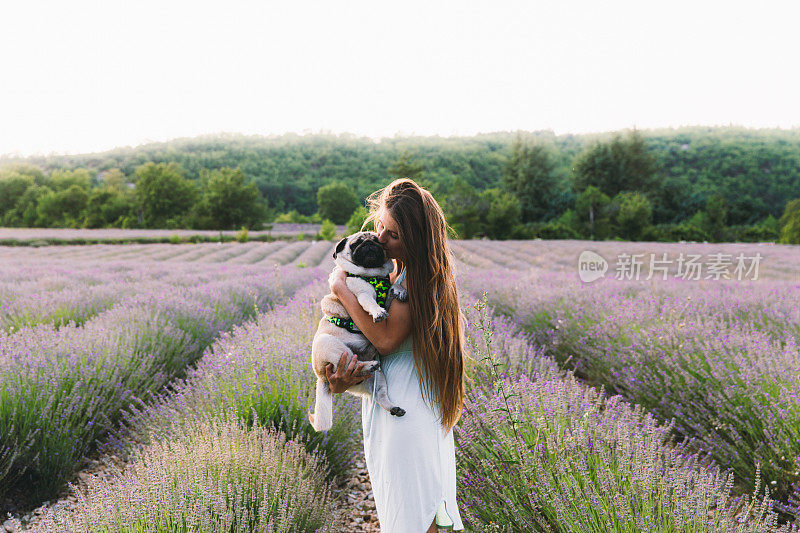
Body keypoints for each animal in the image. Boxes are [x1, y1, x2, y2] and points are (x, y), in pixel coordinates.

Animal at [306, 230, 406, 432]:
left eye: (377, 241)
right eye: (355, 245)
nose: (368, 244)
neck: (373, 275)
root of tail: (322, 378)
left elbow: (391, 291)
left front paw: (398, 289)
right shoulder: (363, 295)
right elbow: (371, 303)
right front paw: (378, 312)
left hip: (379, 379)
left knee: (380, 395)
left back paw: (393, 407)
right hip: (330, 345)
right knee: (349, 364)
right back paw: (366, 364)